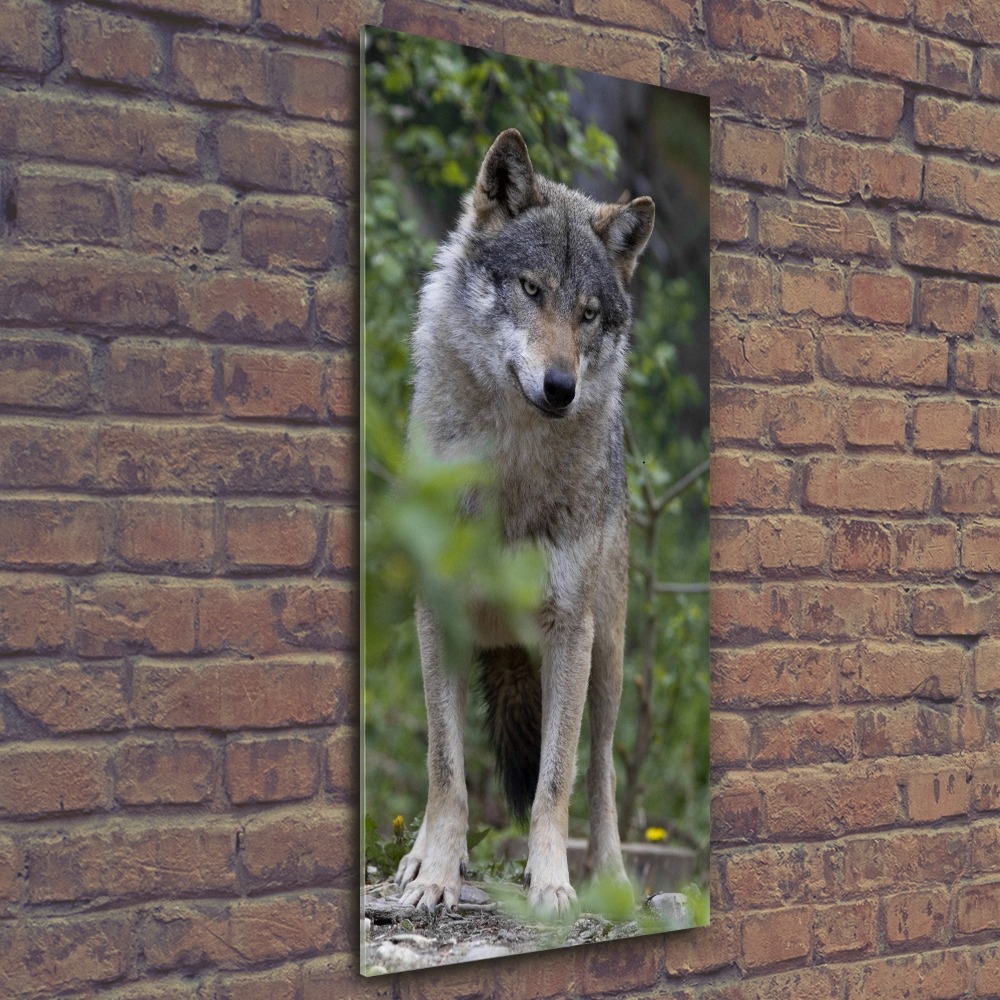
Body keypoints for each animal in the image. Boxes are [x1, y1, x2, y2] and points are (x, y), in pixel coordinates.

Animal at [394, 125, 652, 916]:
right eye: (532, 290)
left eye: (589, 313)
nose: (561, 386)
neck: (507, 470)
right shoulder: (436, 613)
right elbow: (444, 769)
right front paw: (437, 876)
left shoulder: (571, 630)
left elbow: (556, 782)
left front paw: (553, 885)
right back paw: (419, 859)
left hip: (609, 655)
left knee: (602, 769)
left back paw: (612, 878)